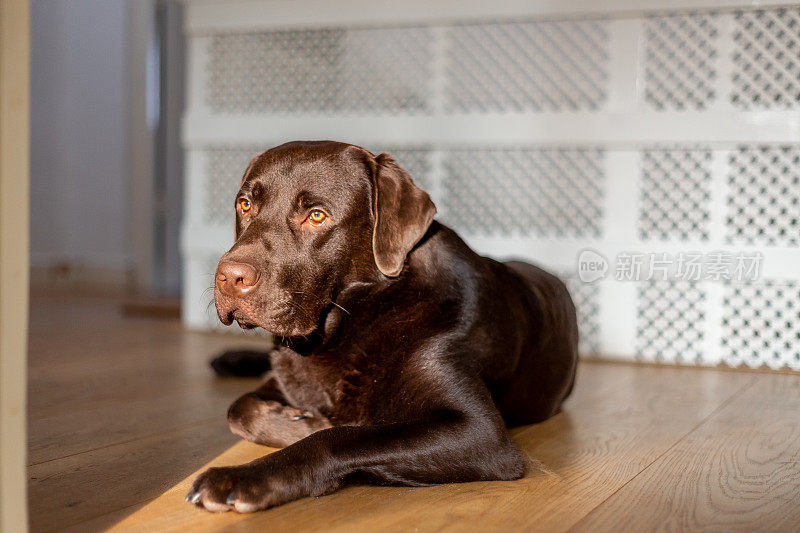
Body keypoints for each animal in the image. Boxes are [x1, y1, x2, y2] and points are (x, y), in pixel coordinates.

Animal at [188, 140, 576, 512]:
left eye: (316, 215)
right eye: (245, 205)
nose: (229, 277)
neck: (353, 318)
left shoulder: (481, 433)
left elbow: (336, 437)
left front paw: (243, 476)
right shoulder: (285, 378)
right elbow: (239, 409)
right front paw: (298, 419)